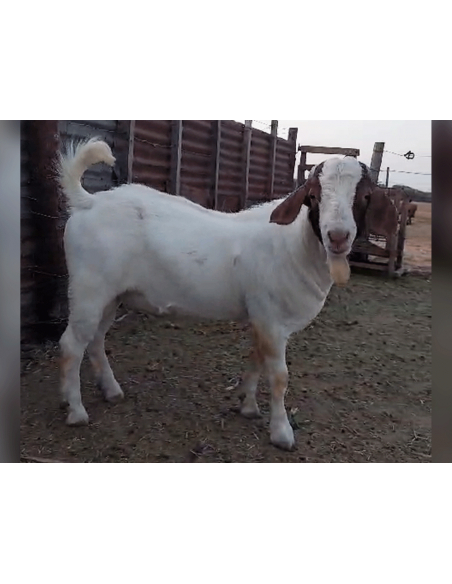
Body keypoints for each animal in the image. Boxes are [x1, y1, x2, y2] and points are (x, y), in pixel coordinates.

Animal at [57, 139, 396, 450]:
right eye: (313, 197)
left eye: (365, 196)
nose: (337, 237)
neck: (295, 245)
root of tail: (88, 202)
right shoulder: (272, 320)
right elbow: (279, 377)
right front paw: (282, 433)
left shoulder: (261, 316)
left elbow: (256, 360)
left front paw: (248, 406)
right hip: (89, 287)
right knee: (72, 344)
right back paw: (76, 411)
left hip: (111, 295)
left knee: (95, 339)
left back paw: (111, 390)